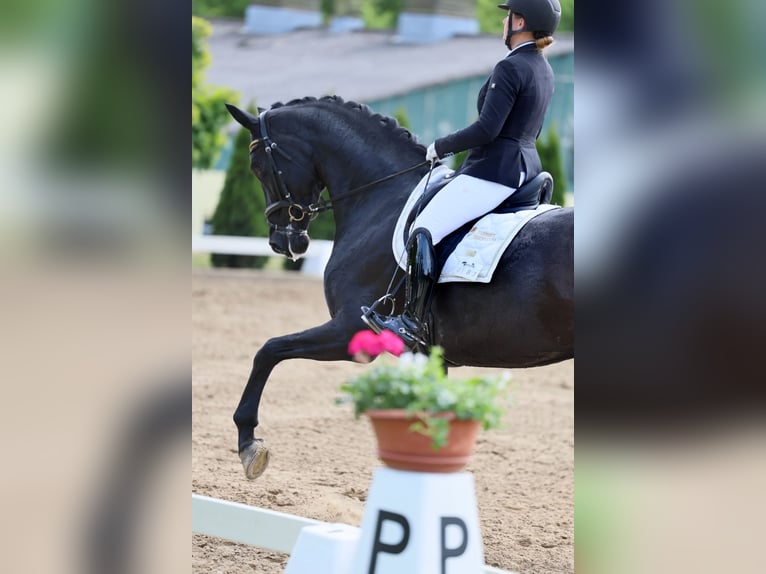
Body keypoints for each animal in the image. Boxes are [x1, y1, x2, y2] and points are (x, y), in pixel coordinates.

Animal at [225, 97, 572, 480]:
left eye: (258, 166)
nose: (282, 243)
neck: (380, 198)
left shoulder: (352, 330)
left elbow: (269, 350)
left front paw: (248, 444)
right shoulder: (424, 354)